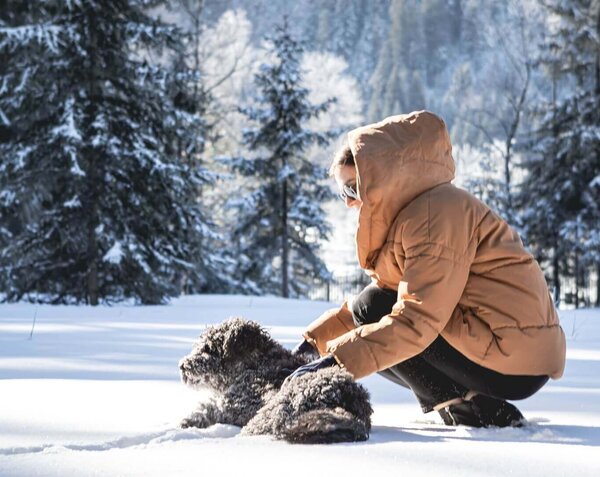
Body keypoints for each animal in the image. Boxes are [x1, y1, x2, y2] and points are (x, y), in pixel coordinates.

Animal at [180, 316, 372, 442]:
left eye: (209, 349)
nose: (182, 366)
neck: (255, 364)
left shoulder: (234, 407)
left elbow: (207, 411)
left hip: (273, 412)